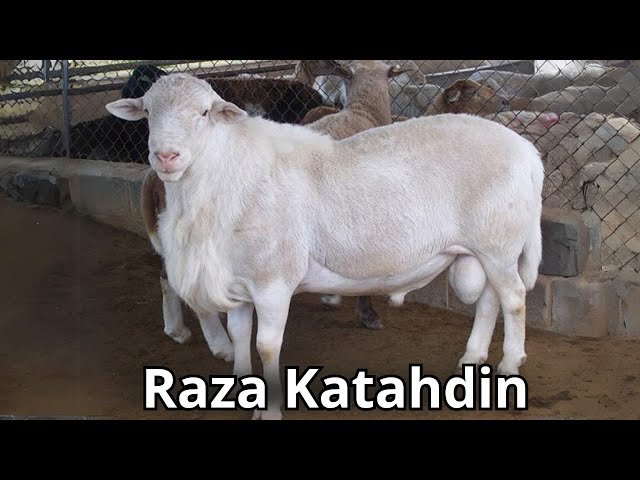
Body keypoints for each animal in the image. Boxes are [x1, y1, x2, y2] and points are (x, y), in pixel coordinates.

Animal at [107, 73, 544, 420]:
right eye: (147, 112)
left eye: (204, 113)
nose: (165, 156)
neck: (226, 175)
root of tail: (528, 153)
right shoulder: (240, 282)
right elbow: (239, 335)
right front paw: (241, 388)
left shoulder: (273, 282)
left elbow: (267, 346)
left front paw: (269, 411)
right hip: (485, 247)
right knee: (489, 300)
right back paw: (473, 357)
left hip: (498, 242)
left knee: (514, 299)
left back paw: (509, 364)